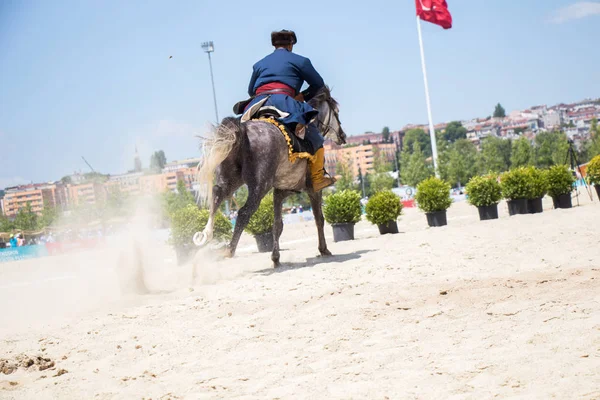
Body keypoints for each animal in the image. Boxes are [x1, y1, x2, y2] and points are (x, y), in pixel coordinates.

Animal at [195, 86, 346, 266]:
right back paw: (228, 250)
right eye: (337, 111)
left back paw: (206, 236)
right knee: (244, 212)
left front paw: (276, 258)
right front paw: (323, 250)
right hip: (260, 186)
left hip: (230, 180)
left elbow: (277, 225)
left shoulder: (280, 191)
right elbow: (319, 219)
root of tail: (242, 131)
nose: (343, 136)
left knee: (217, 196)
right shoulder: (313, 190)